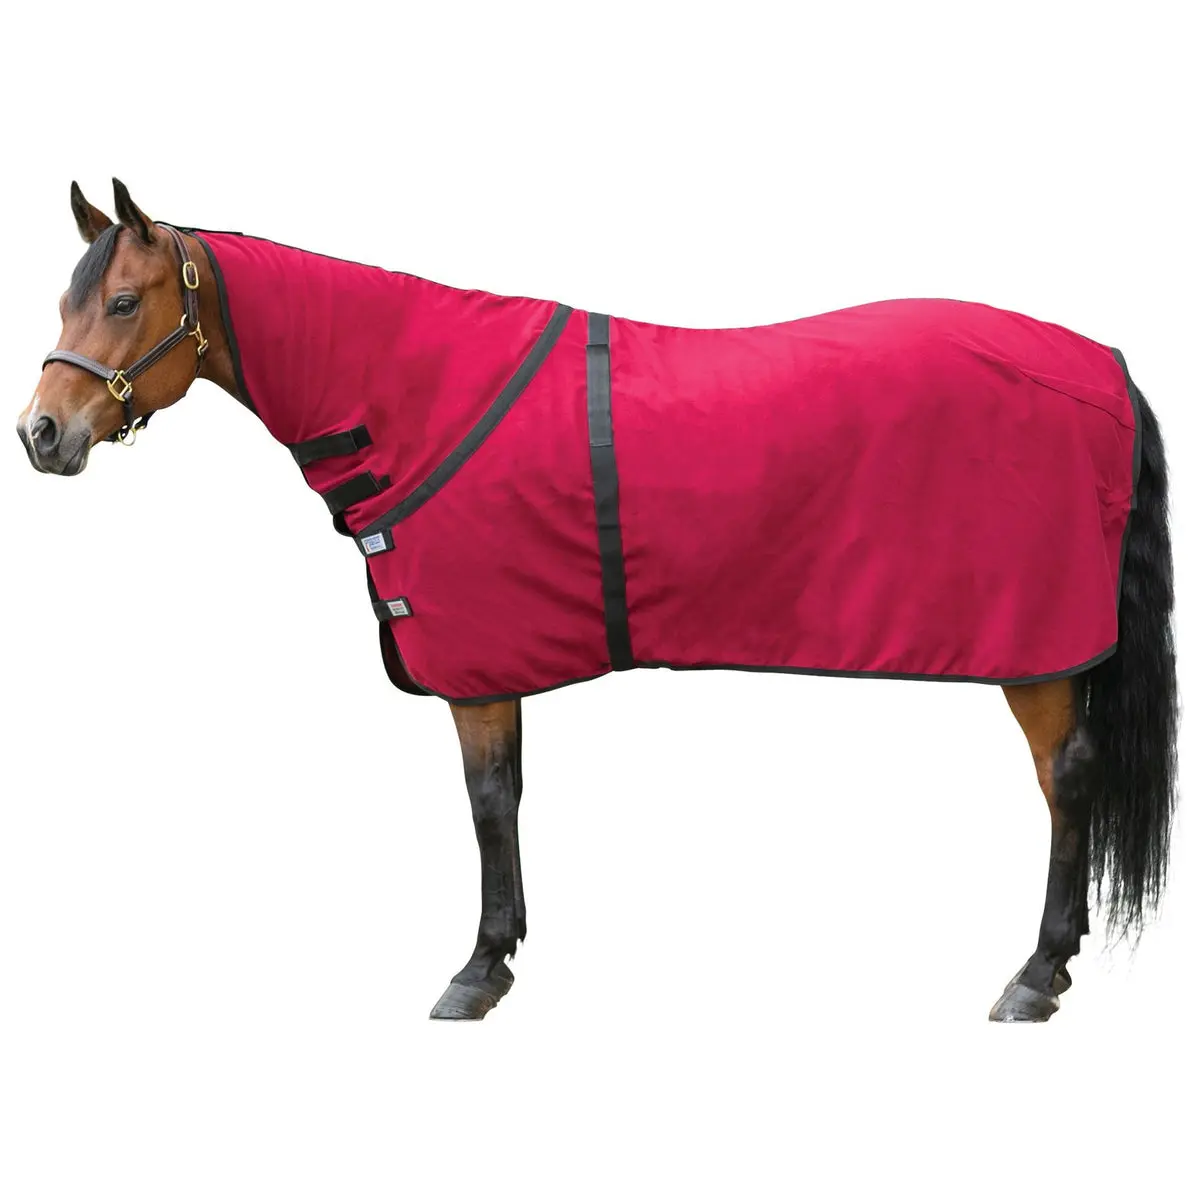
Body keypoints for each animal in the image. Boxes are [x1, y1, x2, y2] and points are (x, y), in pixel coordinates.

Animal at [17, 179, 1177, 1022]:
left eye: (124, 301)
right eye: (68, 302)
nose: (41, 434)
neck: (412, 390)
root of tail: (1103, 365)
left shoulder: (476, 667)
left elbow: (488, 803)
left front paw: (478, 971)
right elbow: (510, 798)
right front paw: (504, 949)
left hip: (1037, 653)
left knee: (1066, 782)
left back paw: (1037, 973)